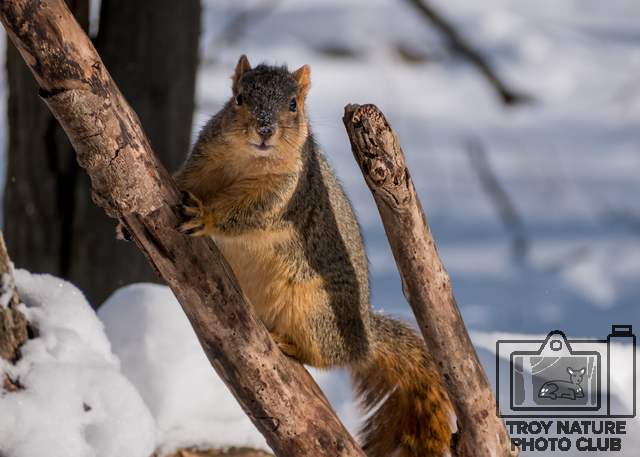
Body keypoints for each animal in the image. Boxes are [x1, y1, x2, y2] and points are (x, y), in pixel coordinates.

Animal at [119, 55, 453, 456]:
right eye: (239, 97)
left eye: (294, 105)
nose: (265, 129)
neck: (249, 159)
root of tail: (367, 339)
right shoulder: (203, 162)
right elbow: (182, 180)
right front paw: (125, 226)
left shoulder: (288, 190)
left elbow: (252, 212)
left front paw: (206, 216)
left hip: (314, 310)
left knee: (327, 357)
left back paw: (287, 344)